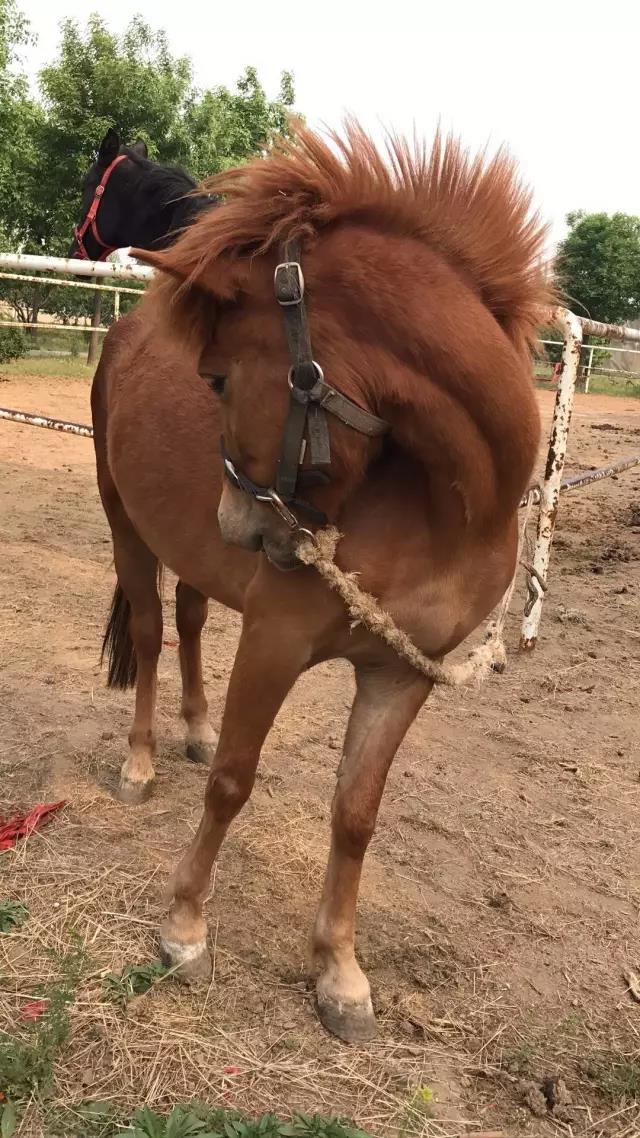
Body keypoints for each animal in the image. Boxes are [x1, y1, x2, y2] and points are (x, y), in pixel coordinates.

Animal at [92, 122, 546, 1042]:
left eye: (219, 375)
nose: (242, 525)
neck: (449, 505)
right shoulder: (276, 639)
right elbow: (234, 780)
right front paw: (184, 928)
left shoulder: (402, 672)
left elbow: (356, 813)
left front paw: (338, 972)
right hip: (127, 526)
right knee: (152, 635)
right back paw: (142, 762)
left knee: (189, 621)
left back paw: (190, 729)